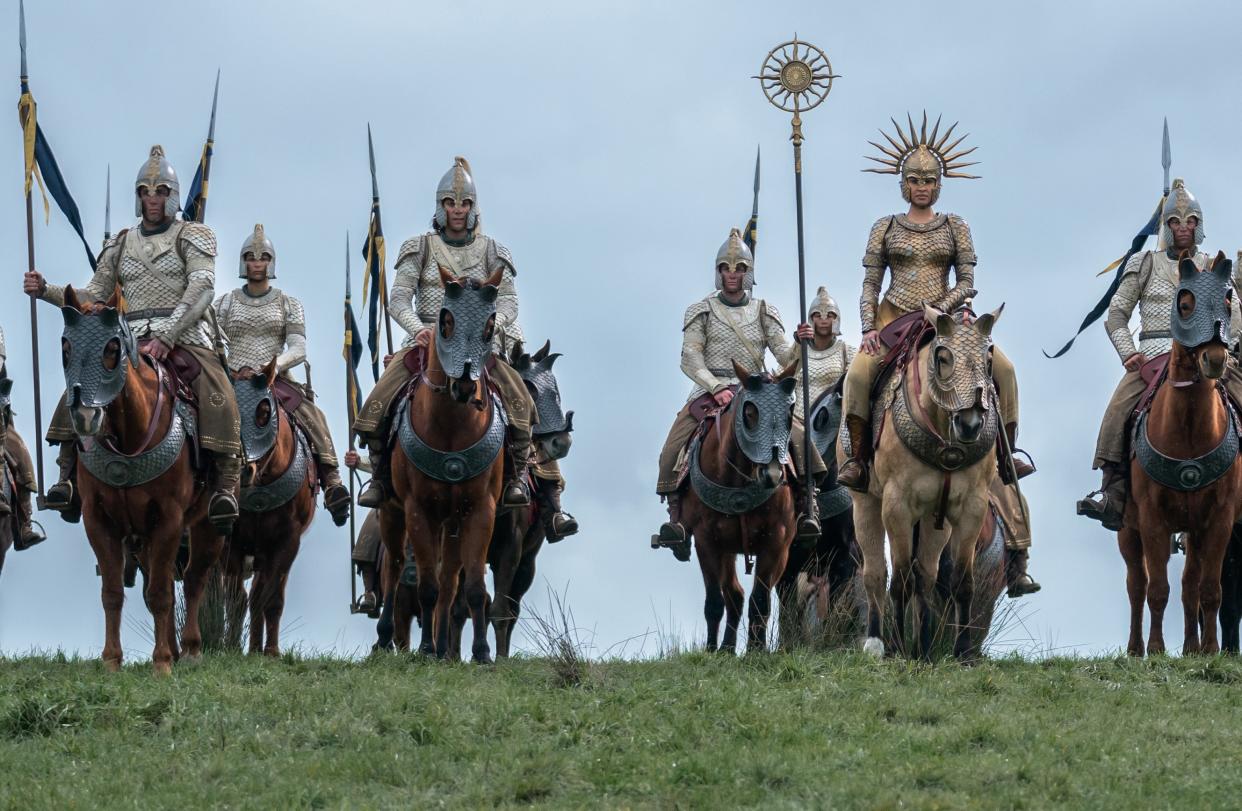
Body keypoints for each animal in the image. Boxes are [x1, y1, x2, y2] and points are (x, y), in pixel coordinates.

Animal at [223, 357, 320, 655]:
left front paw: (271, 652)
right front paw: (231, 647)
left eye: (264, 412)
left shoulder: (285, 544)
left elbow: (271, 600)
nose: (243, 469)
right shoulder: (232, 543)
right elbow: (236, 599)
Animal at [382, 264, 509, 655]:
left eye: (489, 323)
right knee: (394, 567)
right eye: (447, 320)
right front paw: (424, 650)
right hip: (391, 511)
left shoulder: (480, 510)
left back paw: (444, 649)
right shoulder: (417, 509)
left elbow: (473, 588)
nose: (464, 384)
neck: (452, 426)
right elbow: (426, 586)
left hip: (452, 521)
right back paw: (388, 638)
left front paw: (481, 653)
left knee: (451, 579)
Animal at [680, 360, 794, 650]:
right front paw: (712, 650)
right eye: (750, 413)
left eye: (789, 413)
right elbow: (715, 602)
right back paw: (726, 648)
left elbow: (760, 601)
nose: (772, 474)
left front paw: (757, 650)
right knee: (733, 594)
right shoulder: (706, 541)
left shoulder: (776, 542)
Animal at [849, 303, 1003, 655]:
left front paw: (962, 653)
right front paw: (896, 648)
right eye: (942, 357)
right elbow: (900, 579)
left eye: (988, 359)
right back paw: (877, 642)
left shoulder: (971, 507)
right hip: (866, 503)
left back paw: (923, 647)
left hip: (936, 519)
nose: (970, 424)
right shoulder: (897, 506)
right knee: (875, 574)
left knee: (927, 575)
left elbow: (961, 581)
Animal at [1117, 255, 1242, 655]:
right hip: (1127, 528)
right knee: (1136, 585)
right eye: (1185, 306)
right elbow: (1156, 589)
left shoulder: (1218, 522)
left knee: (1190, 586)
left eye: (1227, 303)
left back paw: (1190, 647)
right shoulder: (1153, 520)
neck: (1187, 431)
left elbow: (1210, 591)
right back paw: (1135, 649)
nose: (1215, 358)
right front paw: (1156, 650)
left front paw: (1210, 650)